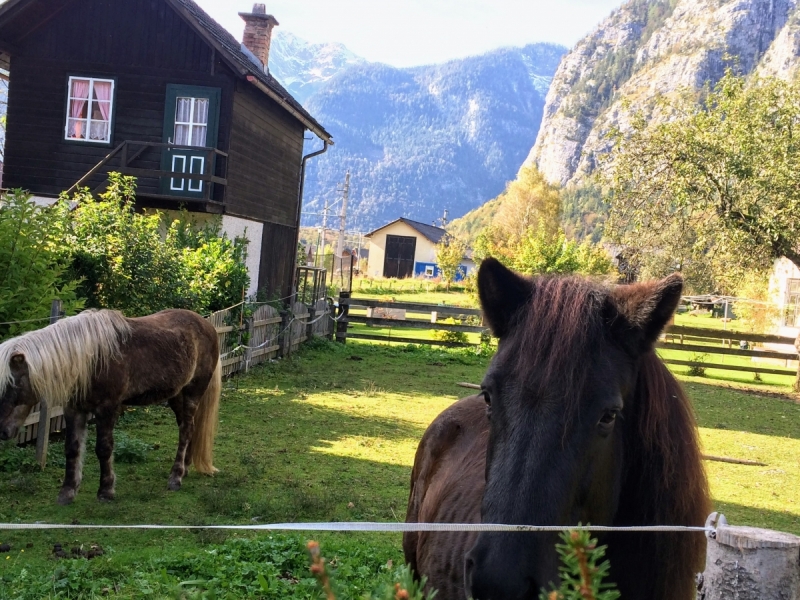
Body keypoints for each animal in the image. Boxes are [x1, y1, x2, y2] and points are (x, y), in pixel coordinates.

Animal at [0, 308, 220, 504]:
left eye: (12, 383)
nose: (3, 431)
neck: (91, 359)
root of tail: (208, 325)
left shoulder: (107, 409)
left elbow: (103, 448)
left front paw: (106, 491)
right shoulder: (73, 410)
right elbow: (71, 448)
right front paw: (67, 492)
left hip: (193, 392)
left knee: (186, 430)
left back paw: (176, 477)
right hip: (176, 396)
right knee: (188, 427)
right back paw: (186, 468)